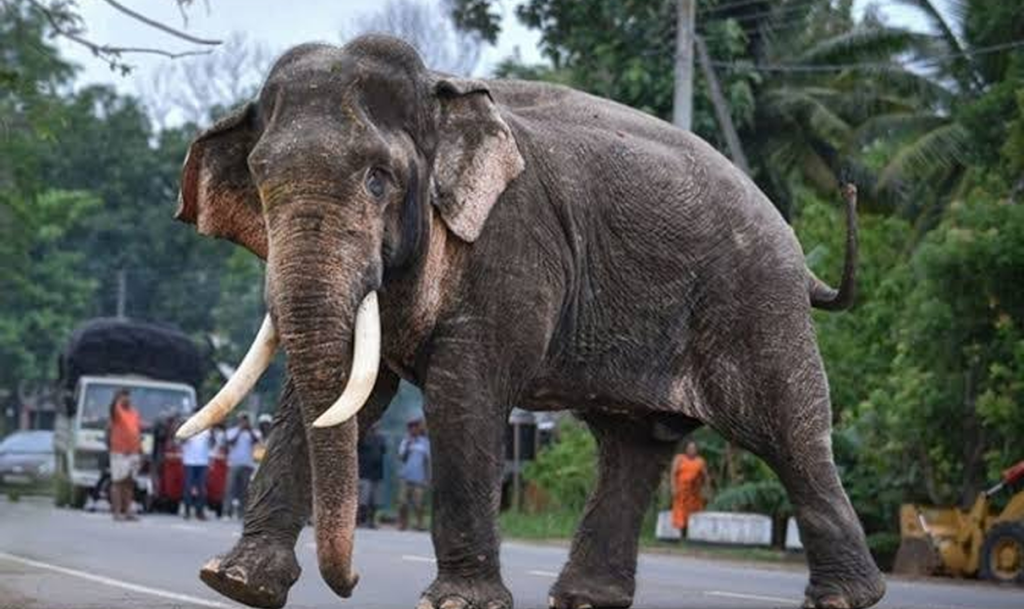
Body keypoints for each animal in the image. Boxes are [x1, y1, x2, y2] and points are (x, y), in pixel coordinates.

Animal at [172, 34, 884, 609]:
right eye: (260, 180)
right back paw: (584, 599)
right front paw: (234, 583)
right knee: (633, 445)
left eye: (379, 179)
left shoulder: (512, 247)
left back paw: (847, 598)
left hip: (756, 303)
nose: (349, 584)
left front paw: (457, 604)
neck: (441, 93)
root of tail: (803, 260)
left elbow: (461, 395)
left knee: (788, 433)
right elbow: (340, 394)